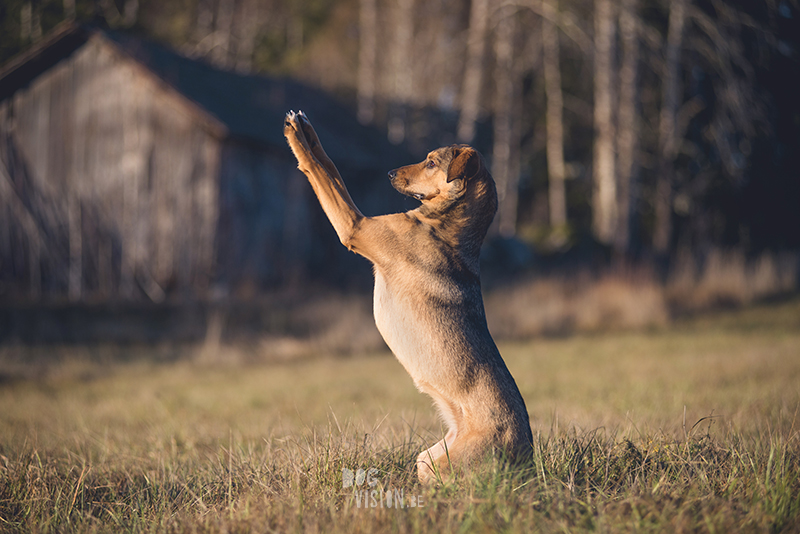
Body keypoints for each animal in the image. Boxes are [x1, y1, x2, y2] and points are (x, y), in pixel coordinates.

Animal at [282, 110, 532, 486]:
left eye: (430, 162)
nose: (388, 173)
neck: (448, 225)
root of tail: (527, 458)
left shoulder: (354, 225)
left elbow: (324, 171)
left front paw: (297, 136)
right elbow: (330, 164)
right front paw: (306, 129)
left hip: (446, 466)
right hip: (427, 459)